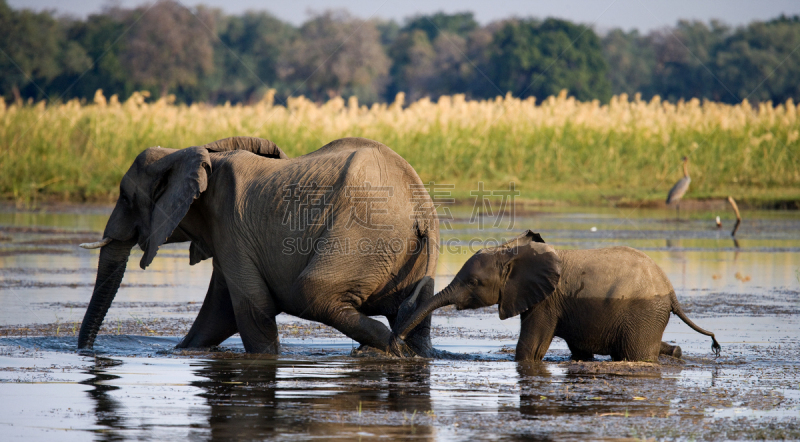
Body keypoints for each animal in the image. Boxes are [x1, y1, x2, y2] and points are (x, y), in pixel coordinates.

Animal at [77, 136, 438, 354]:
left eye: (126, 197)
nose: (87, 351)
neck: (183, 152)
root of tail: (421, 208)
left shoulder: (231, 227)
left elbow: (252, 308)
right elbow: (217, 312)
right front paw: (180, 351)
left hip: (361, 235)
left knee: (312, 292)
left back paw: (392, 350)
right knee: (412, 319)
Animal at [390, 231, 720, 362]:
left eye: (473, 282)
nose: (398, 346)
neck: (512, 253)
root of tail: (672, 291)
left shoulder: (546, 302)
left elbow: (531, 350)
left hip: (643, 311)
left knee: (635, 354)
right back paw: (675, 351)